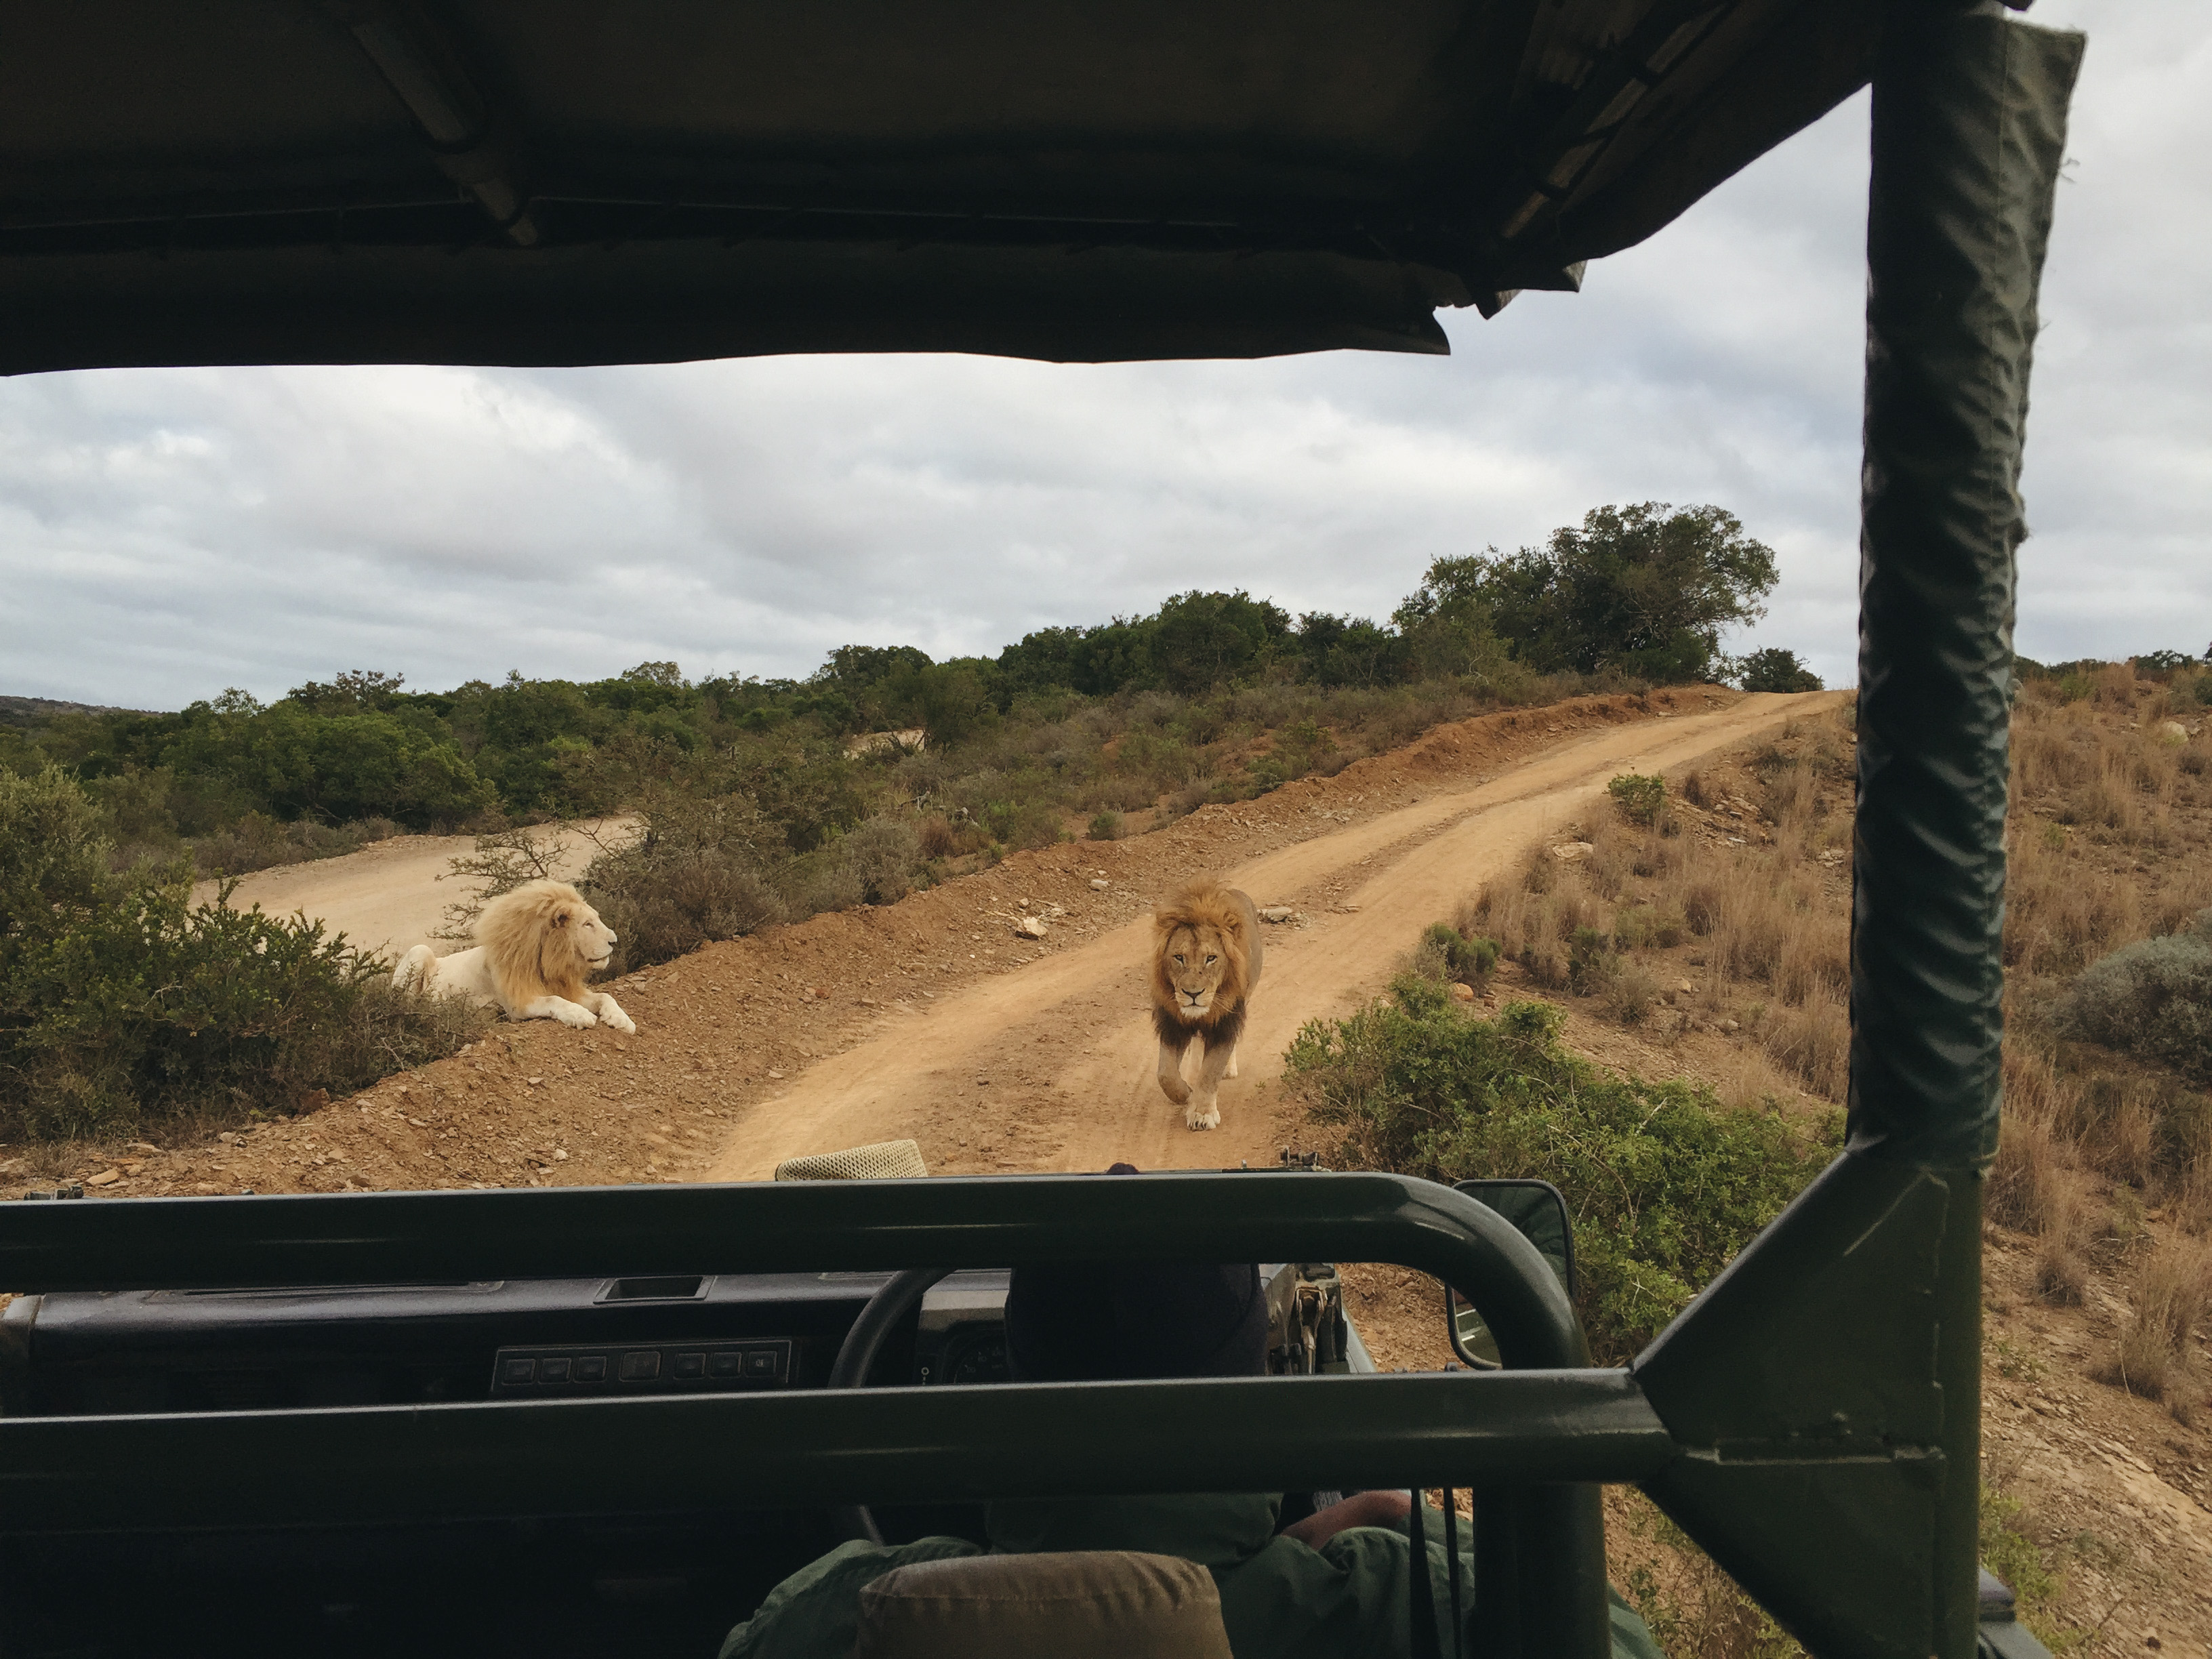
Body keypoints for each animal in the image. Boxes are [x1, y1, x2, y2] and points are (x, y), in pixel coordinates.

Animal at [393, 876, 637, 1035]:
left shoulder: (565, 988)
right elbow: (553, 1000)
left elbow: (606, 996)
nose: (614, 941)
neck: (547, 962)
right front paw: (580, 1015)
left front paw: (622, 1020)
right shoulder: (516, 1004)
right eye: (588, 924)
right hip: (420, 951)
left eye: (596, 919)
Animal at [1159, 876, 1265, 1141]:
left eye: (1211, 958)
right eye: (1179, 957)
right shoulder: (1174, 1023)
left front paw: (1202, 1114)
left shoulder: (1226, 1022)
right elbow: (1165, 1074)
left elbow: (1211, 1071)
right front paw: (1186, 1093)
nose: (1193, 994)